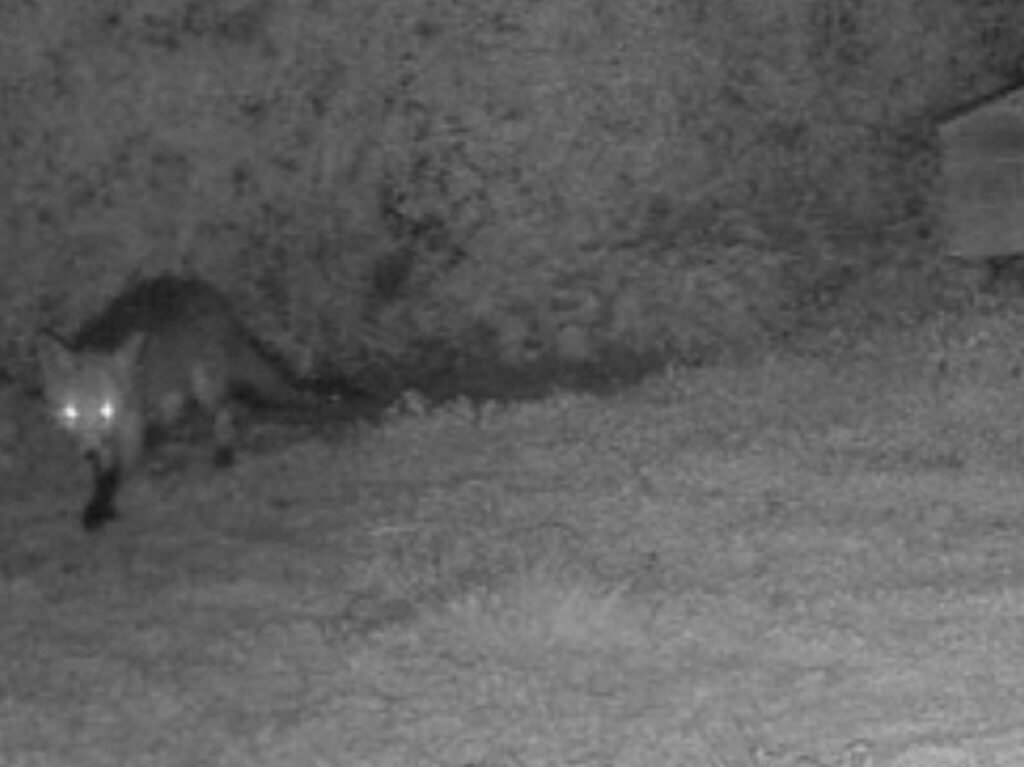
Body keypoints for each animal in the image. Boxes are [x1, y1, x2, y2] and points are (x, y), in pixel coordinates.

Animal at [37, 274, 336, 531]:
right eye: (71, 413)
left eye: (106, 411)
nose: (89, 453)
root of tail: (212, 296)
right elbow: (103, 472)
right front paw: (99, 496)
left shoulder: (128, 427)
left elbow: (113, 475)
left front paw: (99, 508)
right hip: (175, 386)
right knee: (173, 412)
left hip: (205, 387)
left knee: (224, 412)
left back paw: (223, 452)